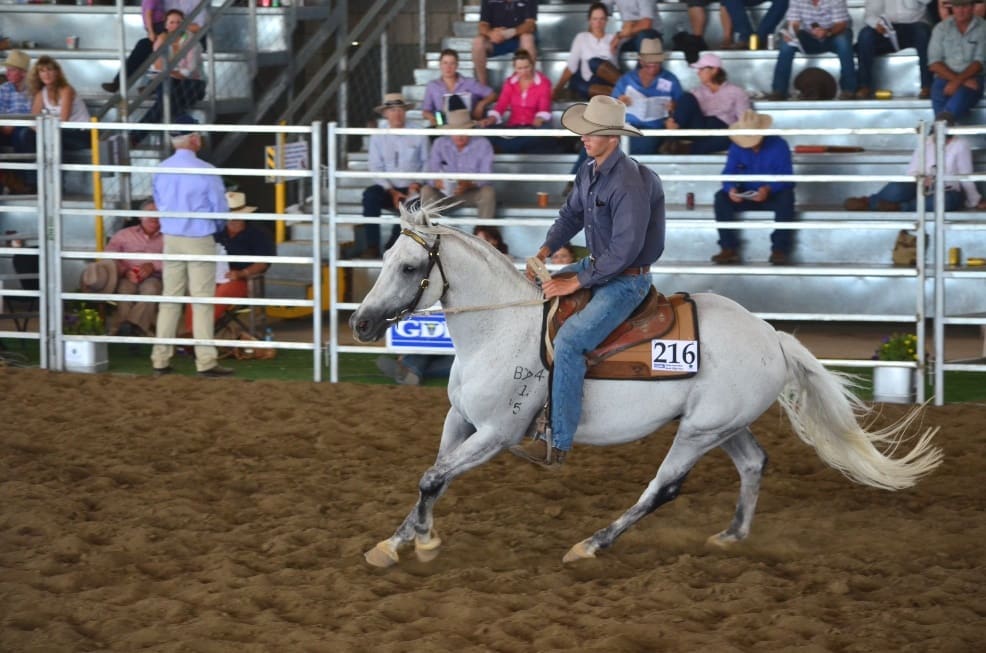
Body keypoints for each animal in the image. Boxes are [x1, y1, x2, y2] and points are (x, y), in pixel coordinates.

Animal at [350, 205, 942, 567]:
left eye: (409, 267)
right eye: (385, 259)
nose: (360, 323)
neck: (502, 328)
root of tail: (773, 337)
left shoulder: (498, 432)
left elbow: (432, 478)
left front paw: (424, 542)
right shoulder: (462, 420)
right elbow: (432, 477)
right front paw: (398, 541)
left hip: (698, 433)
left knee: (662, 488)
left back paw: (591, 545)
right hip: (721, 425)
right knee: (753, 464)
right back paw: (731, 536)